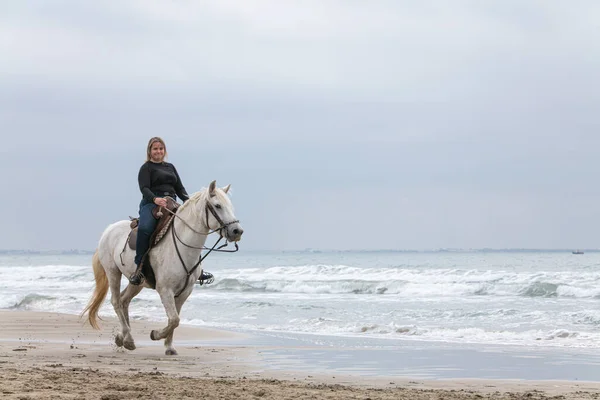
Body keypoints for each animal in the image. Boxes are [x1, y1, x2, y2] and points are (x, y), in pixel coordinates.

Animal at [81, 180, 243, 354]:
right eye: (218, 205)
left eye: (230, 206)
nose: (237, 231)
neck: (183, 246)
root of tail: (109, 229)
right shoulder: (165, 290)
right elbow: (174, 319)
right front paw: (156, 334)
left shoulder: (184, 292)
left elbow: (175, 319)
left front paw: (169, 347)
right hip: (113, 272)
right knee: (116, 301)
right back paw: (128, 338)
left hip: (137, 282)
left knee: (124, 300)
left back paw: (122, 338)